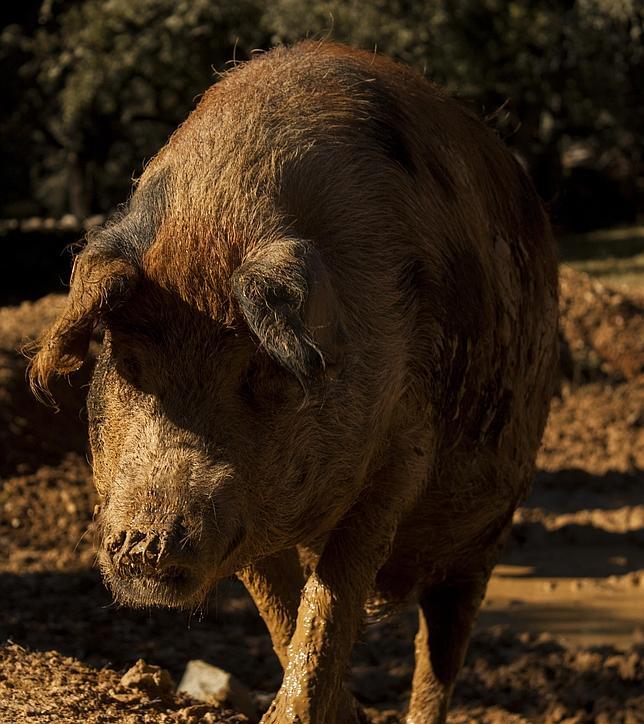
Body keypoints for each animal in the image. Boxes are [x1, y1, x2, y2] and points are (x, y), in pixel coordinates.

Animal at [28, 41, 560, 724]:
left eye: (257, 370)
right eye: (128, 363)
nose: (148, 541)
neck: (219, 216)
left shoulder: (405, 452)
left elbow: (334, 590)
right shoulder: (246, 509)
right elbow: (281, 602)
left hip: (492, 525)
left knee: (441, 647)